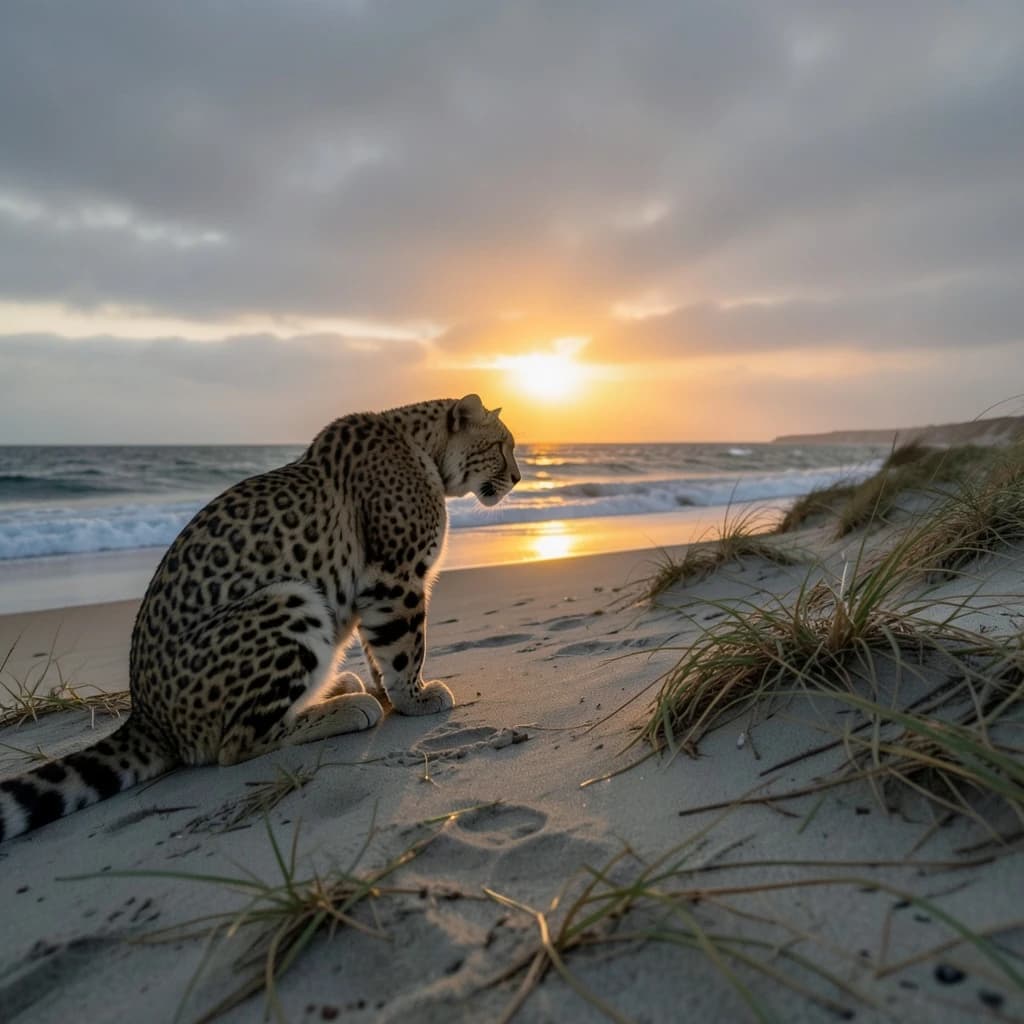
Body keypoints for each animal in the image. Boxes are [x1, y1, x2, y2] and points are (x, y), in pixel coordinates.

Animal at [0, 394, 519, 842]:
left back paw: (339, 688)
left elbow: (381, 650)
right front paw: (414, 698)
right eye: (501, 446)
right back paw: (346, 707)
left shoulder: (377, 585)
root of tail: (145, 716)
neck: (424, 448)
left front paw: (393, 690)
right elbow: (404, 647)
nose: (517, 477)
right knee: (235, 743)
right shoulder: (393, 576)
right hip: (290, 599)